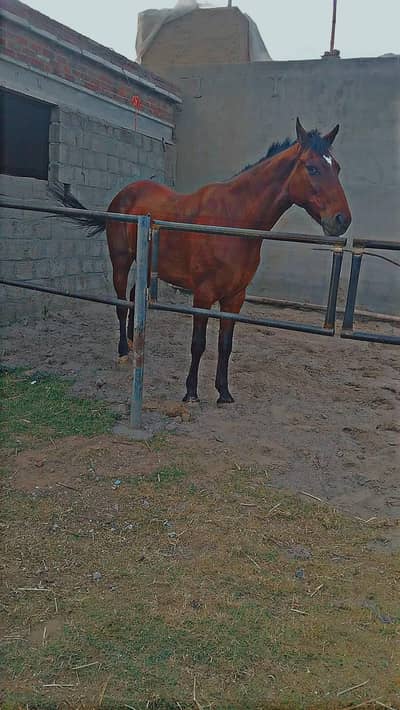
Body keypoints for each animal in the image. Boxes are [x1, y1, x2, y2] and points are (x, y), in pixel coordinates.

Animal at [52, 118, 351, 404]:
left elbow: (225, 345)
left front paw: (224, 393)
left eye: (337, 167)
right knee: (121, 304)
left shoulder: (235, 297)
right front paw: (191, 392)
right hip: (121, 262)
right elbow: (198, 343)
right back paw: (124, 352)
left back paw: (135, 343)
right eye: (312, 168)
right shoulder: (203, 295)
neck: (232, 220)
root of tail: (124, 195)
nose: (341, 220)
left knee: (136, 297)